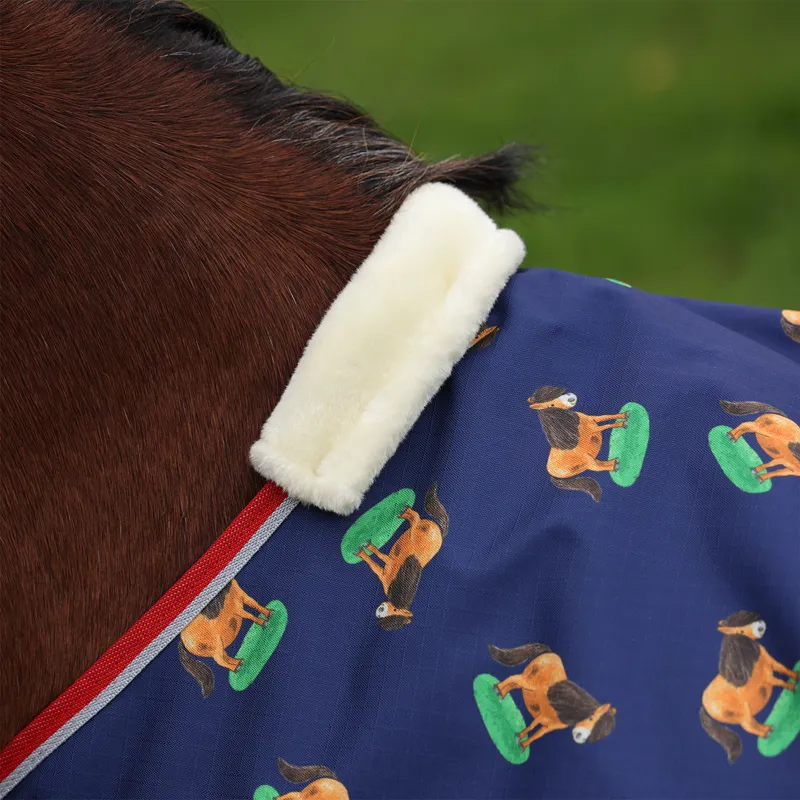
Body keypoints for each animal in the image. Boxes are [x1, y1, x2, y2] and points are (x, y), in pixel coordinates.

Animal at [357, 483, 449, 630]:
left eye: (394, 613)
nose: (379, 612)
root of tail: (440, 533)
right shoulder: (390, 565)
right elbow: (379, 558)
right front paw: (366, 549)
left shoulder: (386, 570)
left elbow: (375, 564)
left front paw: (362, 552)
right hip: (415, 533)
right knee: (416, 518)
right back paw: (404, 512)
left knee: (416, 518)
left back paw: (405, 513)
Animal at [699, 611, 798, 765]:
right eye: (740, 632)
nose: (760, 626)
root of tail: (703, 703)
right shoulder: (766, 678)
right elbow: (779, 681)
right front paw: (793, 686)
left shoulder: (772, 664)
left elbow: (783, 669)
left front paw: (796, 675)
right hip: (743, 713)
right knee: (748, 725)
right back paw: (767, 731)